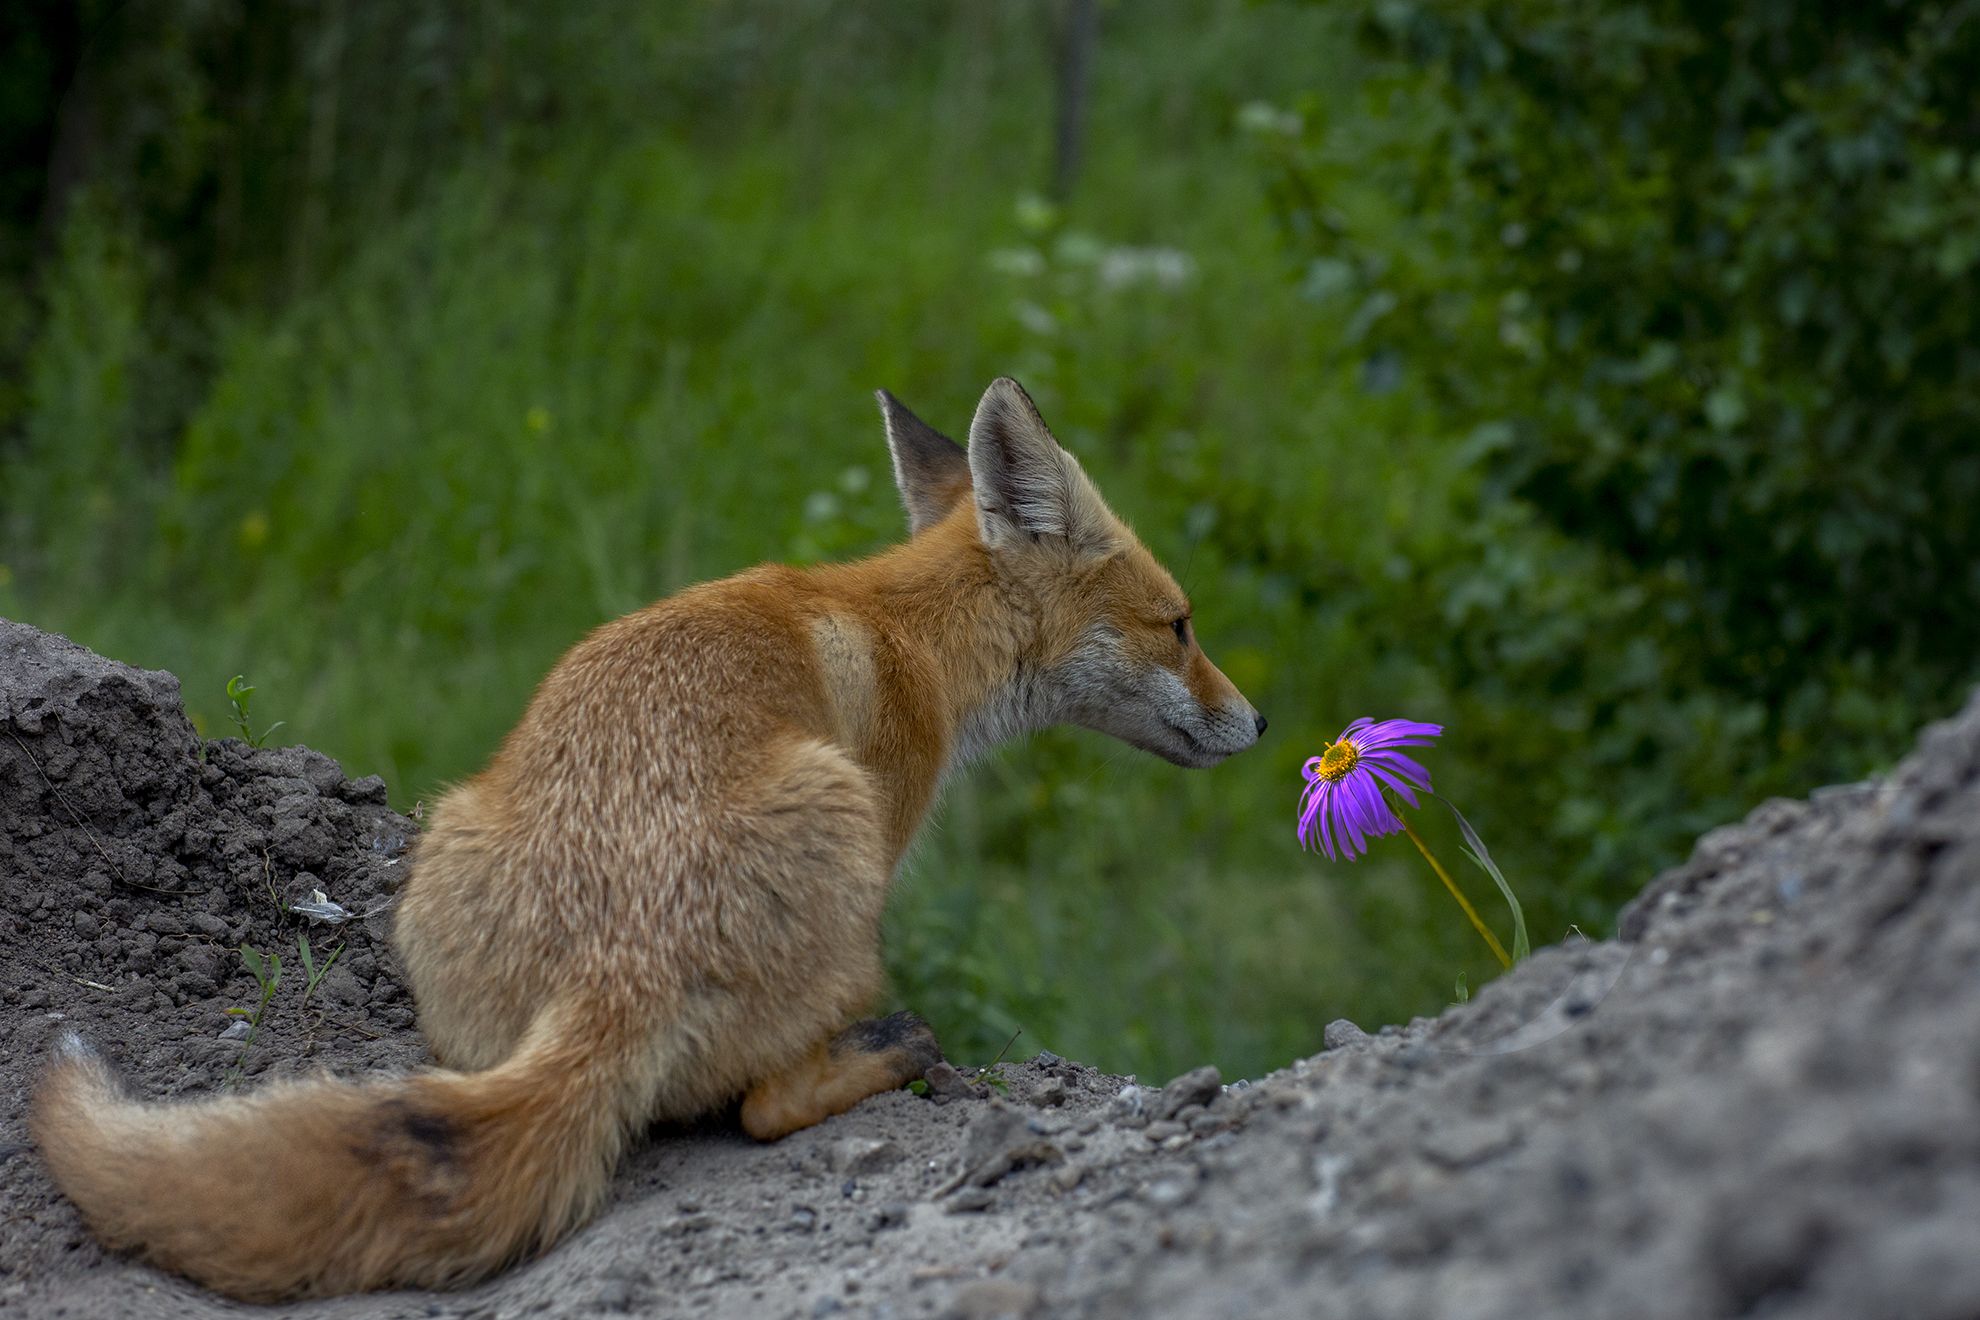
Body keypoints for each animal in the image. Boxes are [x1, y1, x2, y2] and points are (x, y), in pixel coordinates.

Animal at [30, 376, 1259, 1298]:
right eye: (1182, 626)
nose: (1258, 723)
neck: (904, 630)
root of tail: (617, 966)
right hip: (843, 842)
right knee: (761, 1105)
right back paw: (892, 1052)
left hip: (451, 841)